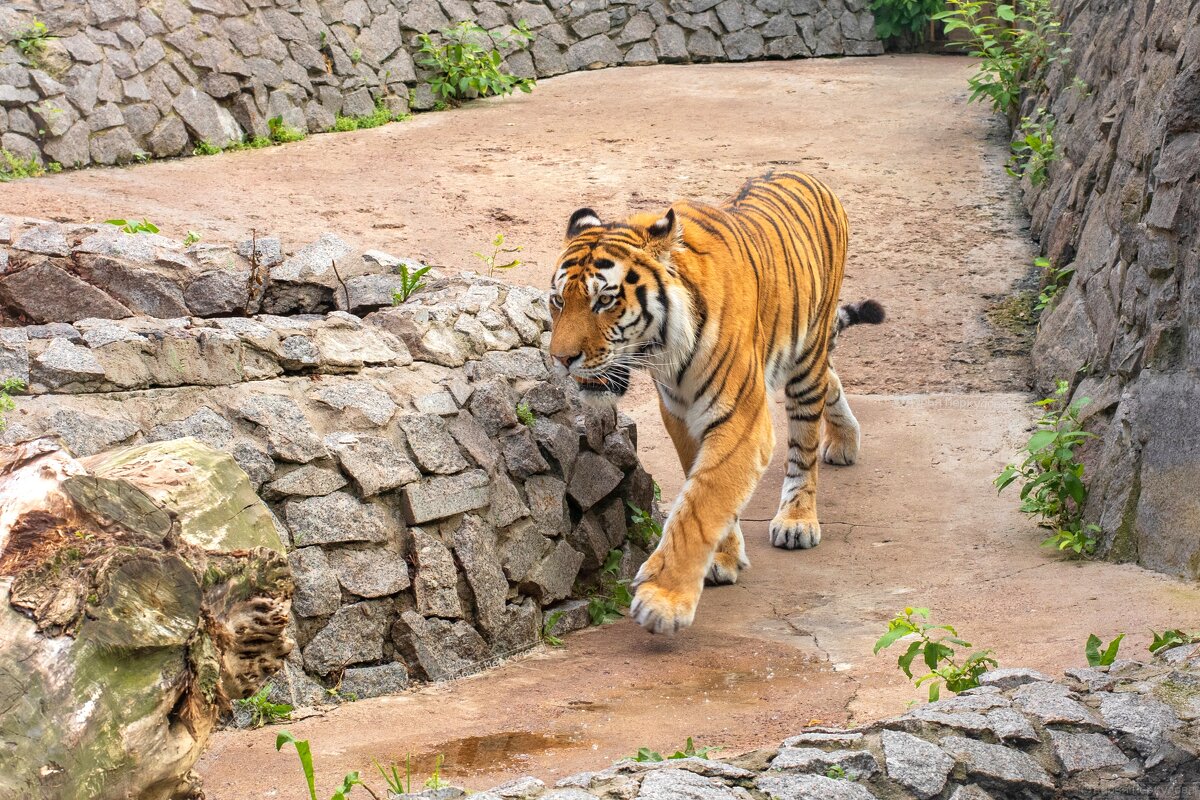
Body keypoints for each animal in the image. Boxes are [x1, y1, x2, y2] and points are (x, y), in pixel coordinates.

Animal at [544, 172, 883, 633]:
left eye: (605, 300)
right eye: (559, 300)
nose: (561, 359)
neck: (664, 350)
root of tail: (804, 174)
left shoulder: (742, 419)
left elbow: (702, 502)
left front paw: (663, 601)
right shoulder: (681, 415)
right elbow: (704, 486)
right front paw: (723, 557)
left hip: (807, 354)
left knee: (805, 440)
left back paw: (797, 520)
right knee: (831, 380)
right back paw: (845, 441)